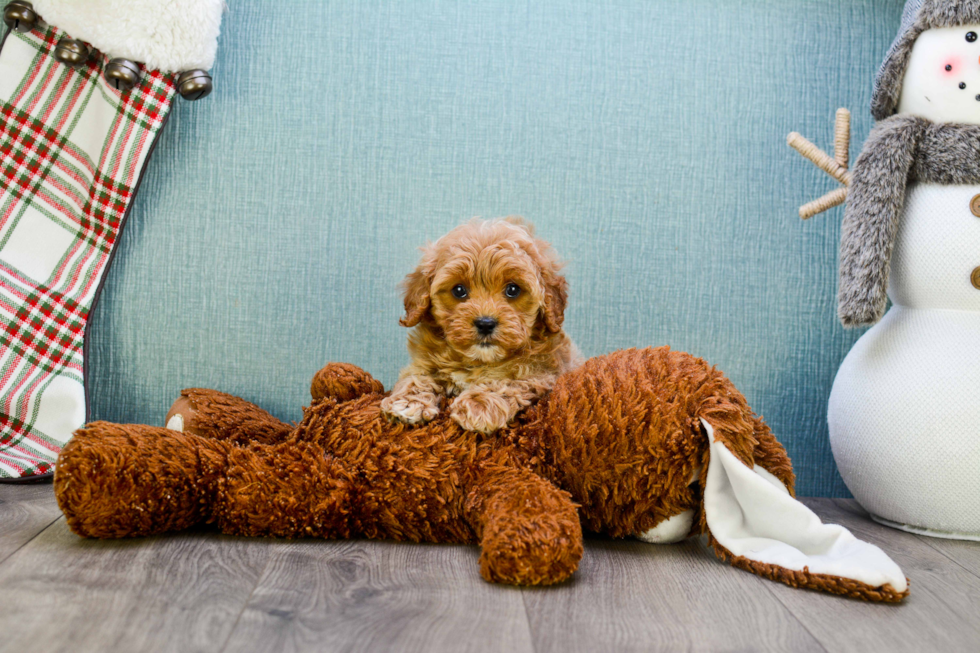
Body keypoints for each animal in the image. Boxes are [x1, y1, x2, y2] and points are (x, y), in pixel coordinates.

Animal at [380, 218, 580, 432]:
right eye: (459, 290)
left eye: (513, 289)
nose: (485, 323)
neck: (478, 360)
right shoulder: (423, 363)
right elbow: (415, 377)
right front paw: (406, 403)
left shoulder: (542, 373)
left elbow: (508, 381)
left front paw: (478, 405)